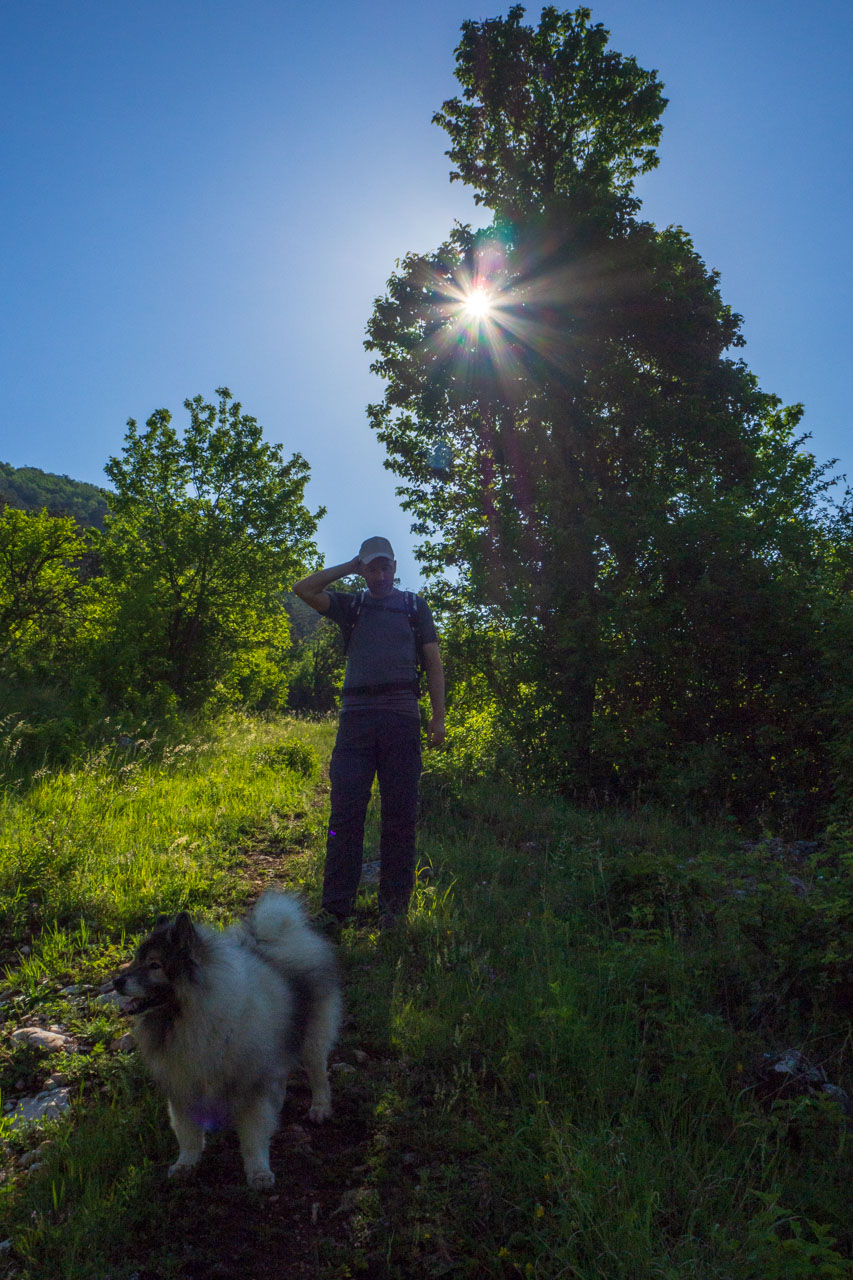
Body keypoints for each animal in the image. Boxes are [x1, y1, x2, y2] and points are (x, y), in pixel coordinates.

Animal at [112, 890, 338, 1187]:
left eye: (154, 965)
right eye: (137, 960)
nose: (116, 982)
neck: (192, 1017)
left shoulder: (252, 1083)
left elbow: (253, 1136)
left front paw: (258, 1172)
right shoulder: (183, 1083)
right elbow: (187, 1132)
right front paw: (185, 1164)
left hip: (312, 1038)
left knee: (317, 1074)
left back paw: (320, 1108)